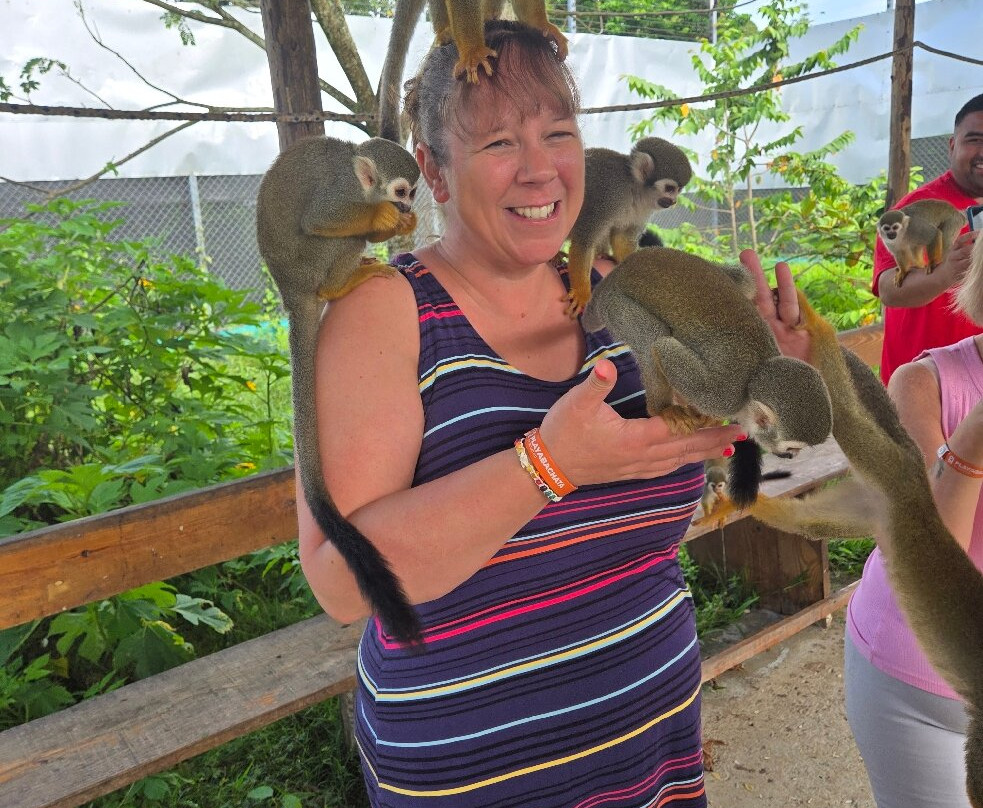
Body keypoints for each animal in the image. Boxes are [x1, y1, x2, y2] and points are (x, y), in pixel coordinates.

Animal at [255, 135, 424, 645]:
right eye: (401, 190)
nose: (407, 205)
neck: (357, 176)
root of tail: (290, 292)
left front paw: (400, 223)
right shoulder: (340, 194)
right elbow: (320, 220)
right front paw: (384, 218)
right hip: (311, 266)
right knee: (338, 238)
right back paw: (340, 285)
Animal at [565, 139, 693, 317]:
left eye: (678, 190)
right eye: (669, 189)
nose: (674, 201)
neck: (634, 191)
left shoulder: (643, 210)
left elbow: (623, 240)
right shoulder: (609, 194)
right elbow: (584, 241)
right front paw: (582, 294)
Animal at [581, 246, 833, 509]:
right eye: (791, 447)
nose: (792, 456)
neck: (753, 380)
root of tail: (619, 272)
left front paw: (706, 417)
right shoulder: (725, 396)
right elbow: (662, 346)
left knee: (745, 280)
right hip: (616, 304)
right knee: (653, 337)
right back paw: (661, 408)